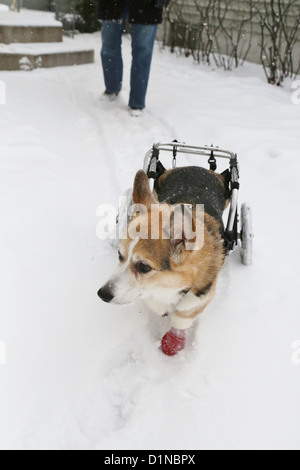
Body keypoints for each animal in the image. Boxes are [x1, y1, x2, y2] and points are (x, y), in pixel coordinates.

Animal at [98, 167, 230, 354]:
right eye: (119, 255)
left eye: (144, 267)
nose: (102, 294)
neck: (166, 286)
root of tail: (198, 168)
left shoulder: (199, 298)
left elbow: (182, 317)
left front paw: (174, 339)